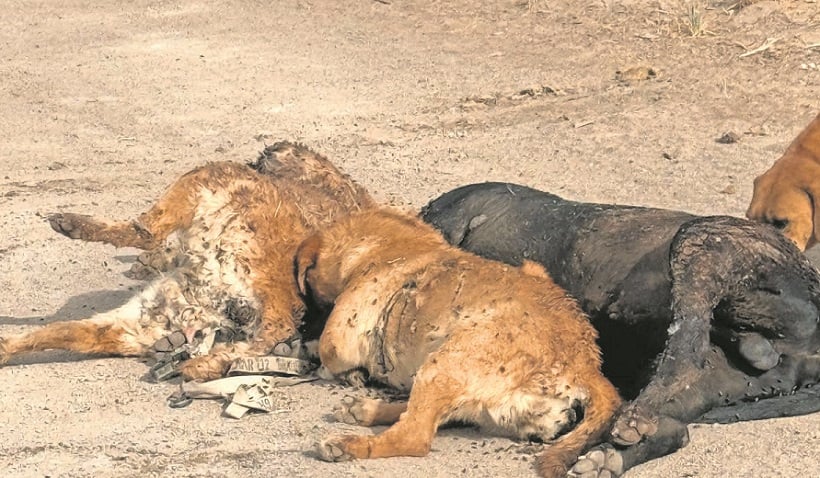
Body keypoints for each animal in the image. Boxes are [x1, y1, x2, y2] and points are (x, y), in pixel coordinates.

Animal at [294, 209, 620, 478]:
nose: (302, 326)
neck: (387, 244)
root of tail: (586, 365)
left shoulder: (341, 337)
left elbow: (327, 352)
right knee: (432, 416)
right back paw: (364, 410)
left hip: (444, 364)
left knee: (414, 435)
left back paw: (346, 444)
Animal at [422, 181, 820, 476]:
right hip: (725, 380)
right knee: (676, 423)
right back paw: (604, 459)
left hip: (702, 242)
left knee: (686, 348)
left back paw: (627, 425)